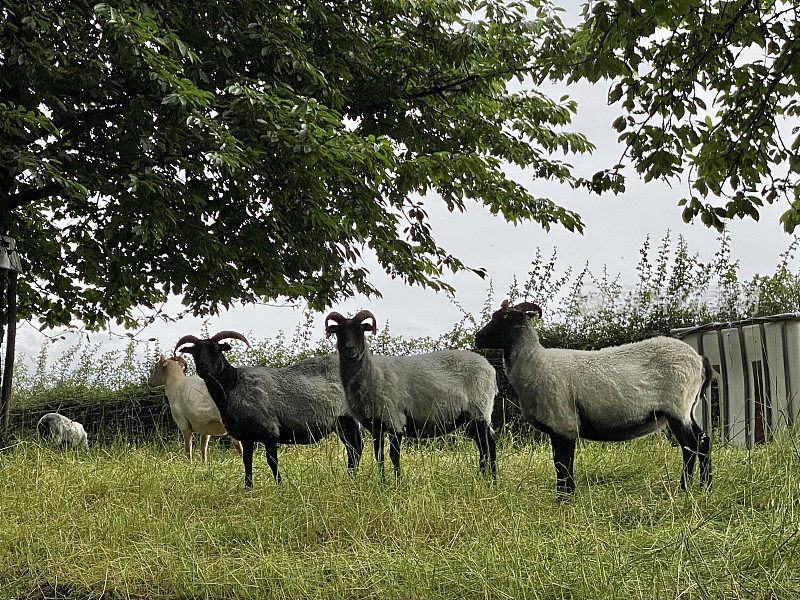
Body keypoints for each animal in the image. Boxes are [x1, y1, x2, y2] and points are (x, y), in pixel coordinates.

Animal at [177, 332, 364, 488]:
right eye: (194, 351)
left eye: (216, 349)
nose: (203, 368)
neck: (233, 384)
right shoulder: (247, 436)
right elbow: (247, 462)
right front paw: (248, 487)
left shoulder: (269, 430)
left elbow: (272, 461)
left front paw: (280, 486)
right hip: (341, 422)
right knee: (354, 449)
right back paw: (350, 479)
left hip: (346, 418)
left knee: (355, 448)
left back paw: (350, 479)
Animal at [322, 312, 496, 480]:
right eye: (339, 332)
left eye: (360, 330)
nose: (350, 349)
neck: (370, 374)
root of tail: (490, 369)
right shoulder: (376, 426)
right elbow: (379, 456)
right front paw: (382, 483)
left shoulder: (395, 420)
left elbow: (394, 456)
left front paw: (398, 483)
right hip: (470, 418)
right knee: (483, 447)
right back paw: (484, 479)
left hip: (479, 410)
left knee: (490, 446)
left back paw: (492, 481)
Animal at [472, 300, 708, 496]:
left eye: (504, 317)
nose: (478, 338)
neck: (535, 362)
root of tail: (699, 360)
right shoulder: (557, 429)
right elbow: (560, 465)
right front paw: (564, 497)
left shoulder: (564, 424)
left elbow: (563, 465)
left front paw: (565, 499)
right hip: (689, 409)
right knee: (703, 441)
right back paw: (705, 486)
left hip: (677, 407)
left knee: (692, 446)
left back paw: (685, 489)